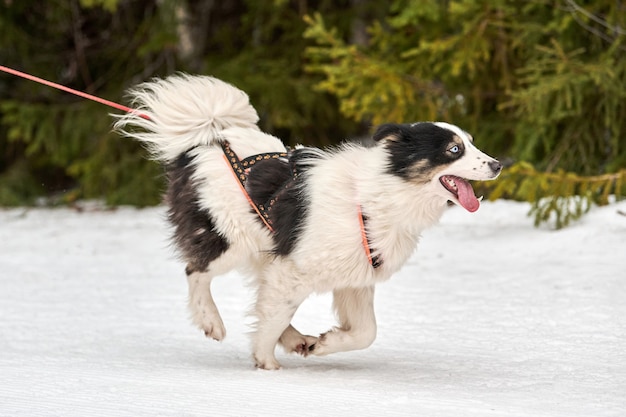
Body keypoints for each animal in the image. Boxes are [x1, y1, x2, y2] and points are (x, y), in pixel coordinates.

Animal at [113, 73, 502, 368]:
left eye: (471, 144)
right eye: (454, 150)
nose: (498, 164)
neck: (377, 196)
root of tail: (207, 139)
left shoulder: (352, 277)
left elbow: (366, 332)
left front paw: (322, 344)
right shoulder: (295, 267)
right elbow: (274, 316)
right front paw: (266, 363)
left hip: (265, 245)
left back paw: (297, 339)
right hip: (229, 238)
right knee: (196, 270)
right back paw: (212, 321)